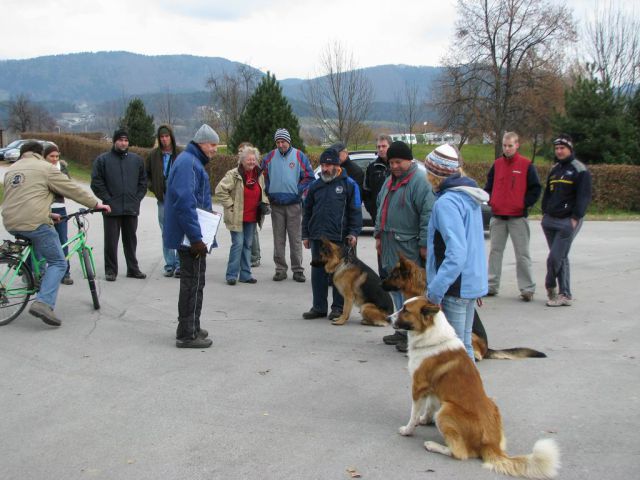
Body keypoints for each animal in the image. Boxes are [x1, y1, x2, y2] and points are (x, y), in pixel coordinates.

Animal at [388, 298, 556, 478]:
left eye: (405, 310)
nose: (388, 318)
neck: (431, 336)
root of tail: (490, 444)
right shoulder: (433, 389)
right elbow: (429, 407)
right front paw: (425, 420)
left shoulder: (418, 387)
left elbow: (413, 415)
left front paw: (408, 430)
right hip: (491, 403)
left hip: (446, 410)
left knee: (460, 453)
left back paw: (433, 445)